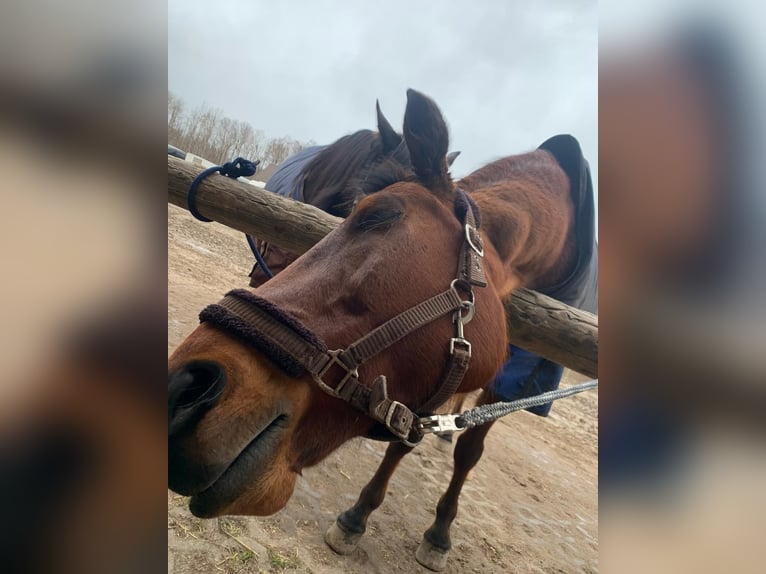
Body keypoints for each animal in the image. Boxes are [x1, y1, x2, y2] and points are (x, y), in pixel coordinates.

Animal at [170, 90, 584, 572]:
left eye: (377, 217)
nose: (182, 387)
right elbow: (405, 443)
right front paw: (357, 518)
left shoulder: (514, 381)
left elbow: (468, 452)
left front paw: (438, 533)